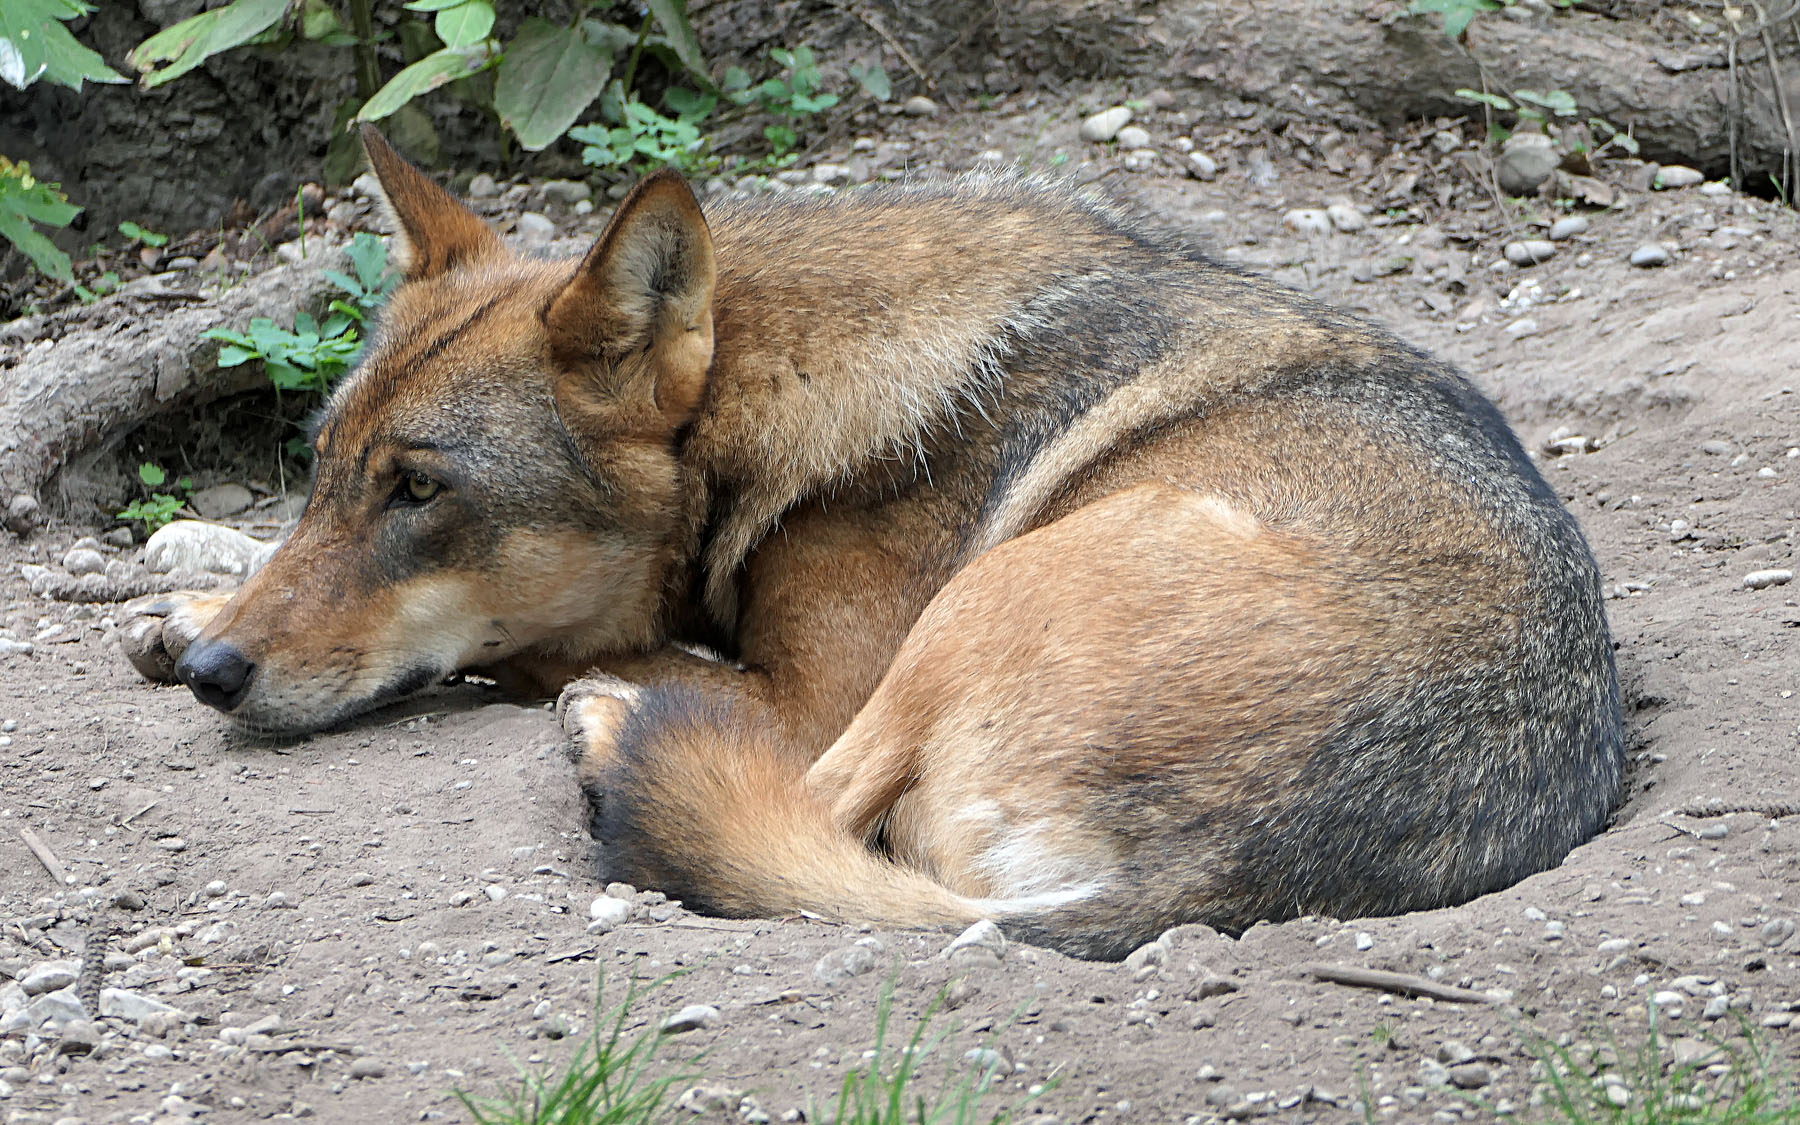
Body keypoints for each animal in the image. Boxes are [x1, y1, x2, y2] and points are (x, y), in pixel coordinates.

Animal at [122, 126, 1623, 958]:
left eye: (421, 492)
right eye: (326, 475)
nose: (218, 679)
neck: (766, 402)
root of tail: (1236, 876)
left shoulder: (813, 684)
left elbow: (561, 651)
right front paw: (189, 603)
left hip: (989, 596)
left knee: (786, 798)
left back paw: (610, 738)